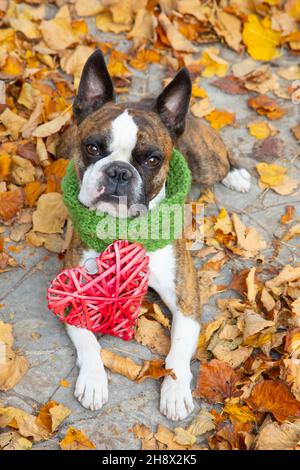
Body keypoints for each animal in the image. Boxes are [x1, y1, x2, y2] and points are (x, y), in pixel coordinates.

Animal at [63, 49, 251, 420]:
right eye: (92, 148)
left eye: (152, 159)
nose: (119, 172)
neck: (124, 228)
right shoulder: (73, 292)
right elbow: (88, 342)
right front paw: (93, 381)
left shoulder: (187, 300)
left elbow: (178, 350)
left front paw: (175, 392)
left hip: (206, 162)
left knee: (223, 158)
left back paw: (237, 173)